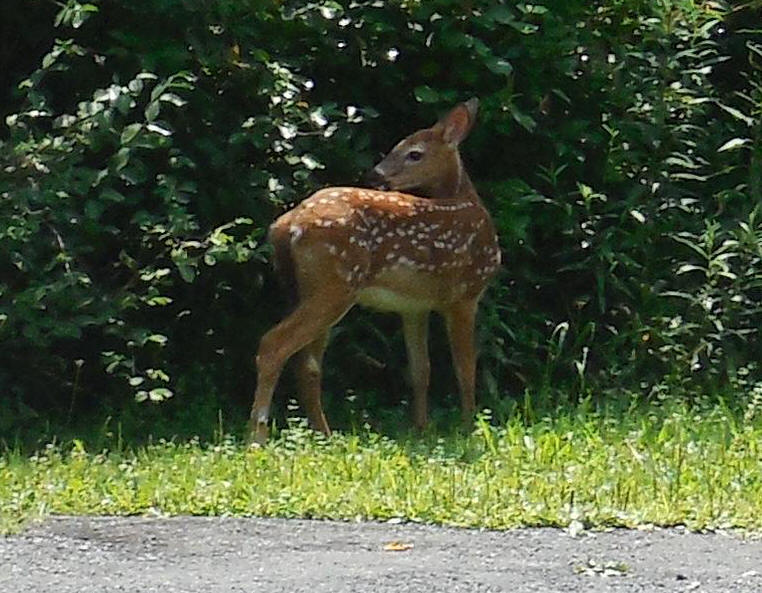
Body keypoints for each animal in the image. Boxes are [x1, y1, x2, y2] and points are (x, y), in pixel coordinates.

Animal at [248, 98, 500, 444]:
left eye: (414, 153)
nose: (374, 174)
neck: (470, 204)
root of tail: (286, 225)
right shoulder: (465, 295)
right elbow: (465, 368)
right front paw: (469, 427)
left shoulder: (414, 307)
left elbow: (421, 369)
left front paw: (421, 428)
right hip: (335, 285)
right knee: (274, 345)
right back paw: (257, 438)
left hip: (308, 288)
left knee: (307, 362)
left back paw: (323, 433)